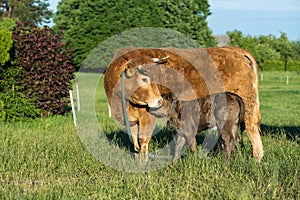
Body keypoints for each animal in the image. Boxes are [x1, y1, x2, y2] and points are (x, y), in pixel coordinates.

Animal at [104, 47, 264, 164]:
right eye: (144, 79)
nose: (159, 101)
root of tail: (235, 50)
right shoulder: (132, 120)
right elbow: (135, 141)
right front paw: (137, 160)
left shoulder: (146, 117)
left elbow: (143, 140)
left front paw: (143, 164)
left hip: (247, 105)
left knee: (251, 129)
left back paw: (257, 159)